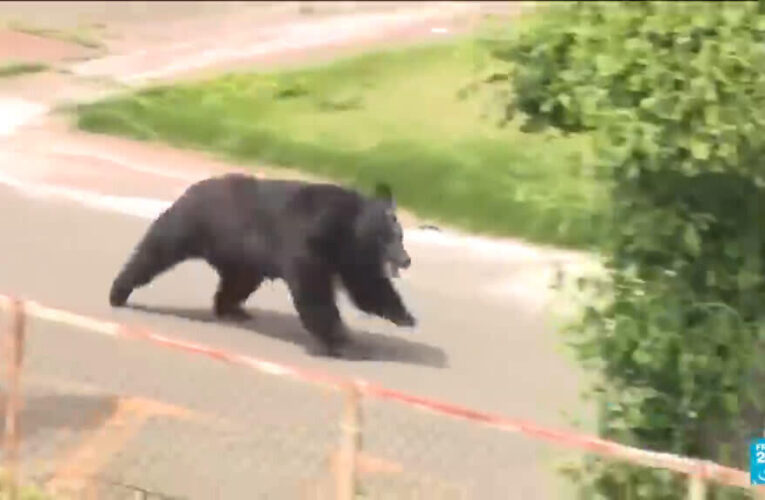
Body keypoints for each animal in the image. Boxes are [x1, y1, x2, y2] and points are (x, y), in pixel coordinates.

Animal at [108, 173, 416, 356]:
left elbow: (366, 285)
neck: (347, 229)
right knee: (154, 252)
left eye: (400, 236)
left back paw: (232, 310)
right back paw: (118, 292)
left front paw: (405, 316)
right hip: (189, 226)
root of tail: (189, 190)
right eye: (390, 237)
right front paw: (339, 340)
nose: (406, 260)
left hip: (242, 259)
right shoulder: (307, 239)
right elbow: (313, 289)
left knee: (236, 285)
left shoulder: (349, 256)